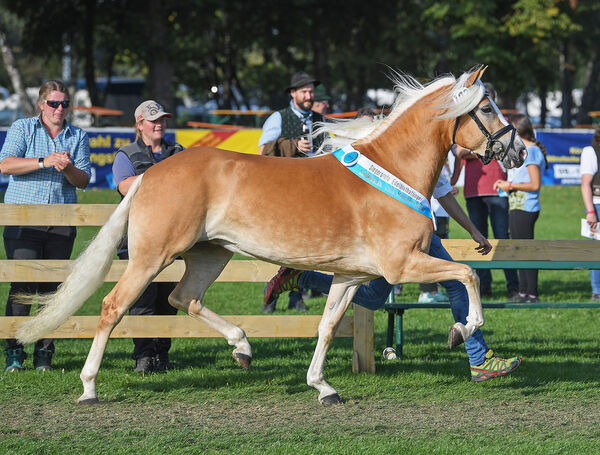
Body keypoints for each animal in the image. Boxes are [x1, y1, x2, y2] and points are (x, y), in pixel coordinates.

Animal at [16, 65, 524, 406]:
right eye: (485, 107)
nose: (517, 149)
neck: (392, 172)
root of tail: (149, 174)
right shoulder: (401, 265)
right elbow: (467, 274)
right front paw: (463, 329)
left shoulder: (352, 276)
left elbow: (327, 326)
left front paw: (323, 387)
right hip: (151, 257)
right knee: (113, 306)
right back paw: (88, 388)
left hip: (210, 255)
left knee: (184, 298)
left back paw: (242, 347)